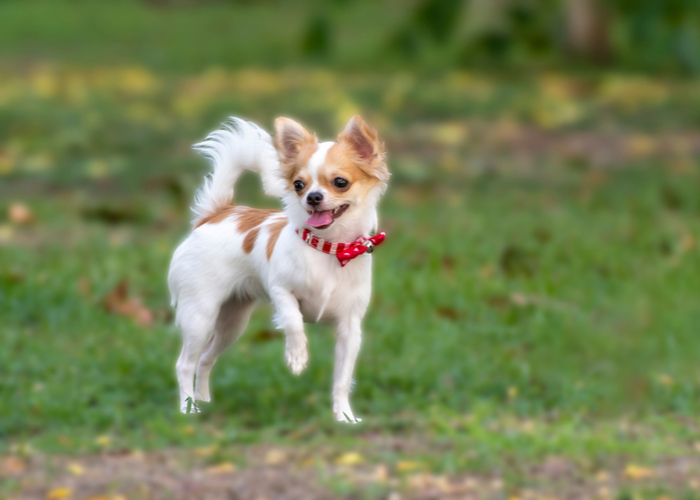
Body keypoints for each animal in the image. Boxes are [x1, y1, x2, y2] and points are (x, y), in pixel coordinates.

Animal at [169, 114, 388, 422]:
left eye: (340, 182)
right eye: (298, 184)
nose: (313, 197)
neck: (330, 248)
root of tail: (216, 214)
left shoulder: (349, 328)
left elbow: (342, 378)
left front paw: (344, 417)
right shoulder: (280, 291)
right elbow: (294, 320)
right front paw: (297, 357)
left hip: (232, 322)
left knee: (205, 358)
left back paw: (203, 400)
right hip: (200, 315)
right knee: (184, 364)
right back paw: (187, 409)